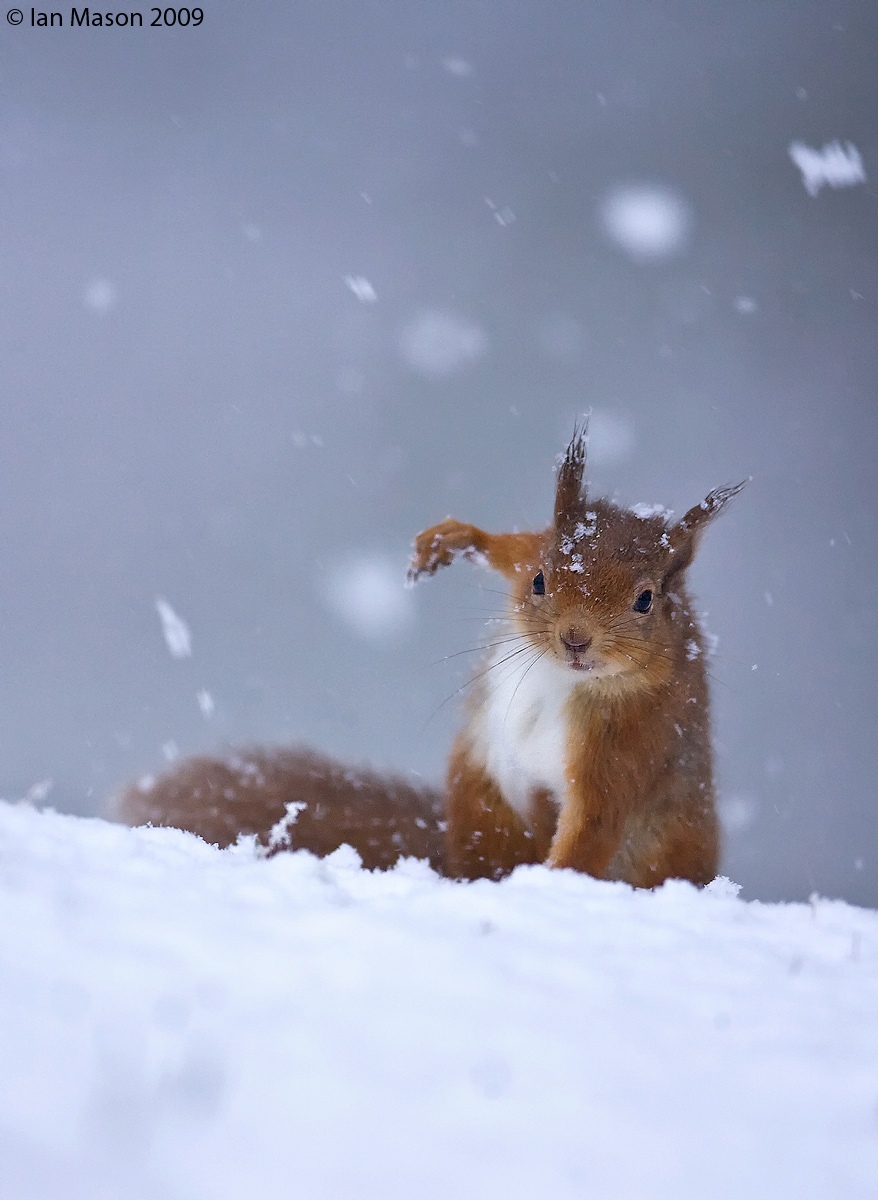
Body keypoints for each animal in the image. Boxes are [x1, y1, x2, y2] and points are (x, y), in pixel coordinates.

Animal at [112, 430, 744, 889]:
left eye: (646, 600)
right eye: (541, 580)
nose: (575, 639)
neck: (568, 681)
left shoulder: (630, 748)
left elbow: (593, 826)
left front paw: (552, 883)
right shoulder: (529, 552)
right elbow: (508, 547)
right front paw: (449, 539)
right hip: (483, 797)